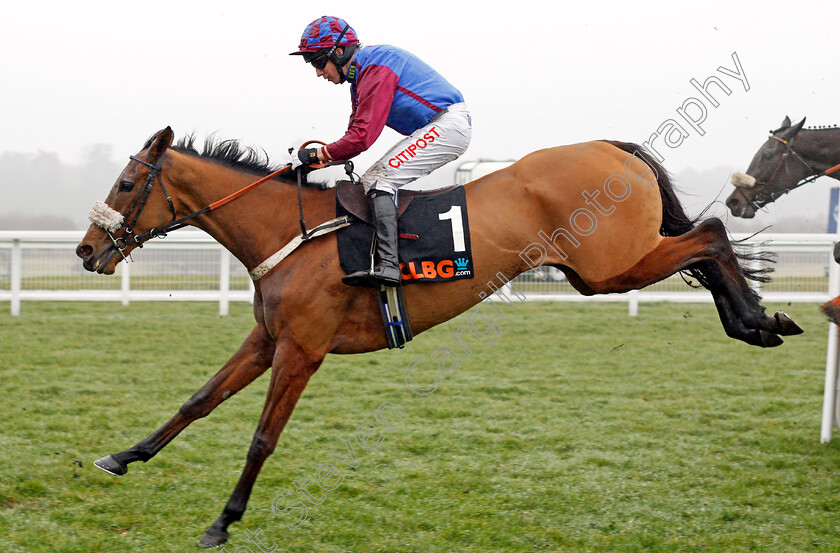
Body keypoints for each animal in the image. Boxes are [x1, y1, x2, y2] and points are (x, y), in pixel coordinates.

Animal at [75, 127, 804, 544]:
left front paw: (224, 520)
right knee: (706, 242)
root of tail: (610, 147)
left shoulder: (302, 350)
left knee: (709, 235)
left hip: (606, 268)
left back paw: (760, 321)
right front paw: (123, 455)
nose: (85, 251)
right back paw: (760, 321)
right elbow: (197, 400)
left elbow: (261, 437)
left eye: (128, 181)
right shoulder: (266, 340)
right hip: (601, 269)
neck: (292, 232)